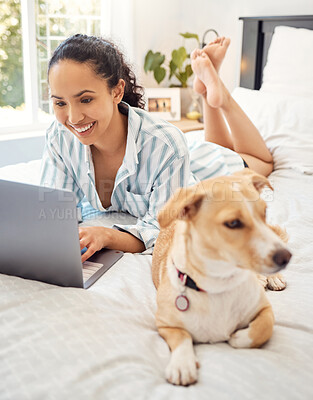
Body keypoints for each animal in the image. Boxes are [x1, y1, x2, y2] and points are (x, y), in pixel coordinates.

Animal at [151, 169, 290, 384]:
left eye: (264, 213)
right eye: (233, 223)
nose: (286, 257)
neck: (219, 284)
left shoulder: (265, 309)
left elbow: (262, 327)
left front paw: (239, 338)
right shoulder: (165, 324)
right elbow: (182, 338)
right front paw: (182, 364)